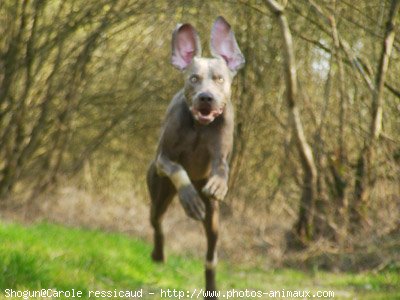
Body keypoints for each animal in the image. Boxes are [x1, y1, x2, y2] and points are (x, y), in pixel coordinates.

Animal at [147, 16, 244, 298]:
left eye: (220, 79)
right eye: (193, 78)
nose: (206, 97)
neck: (200, 126)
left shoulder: (221, 155)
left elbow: (222, 170)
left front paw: (218, 185)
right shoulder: (163, 160)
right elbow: (178, 169)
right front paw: (190, 199)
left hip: (213, 220)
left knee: (211, 254)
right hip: (159, 192)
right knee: (156, 222)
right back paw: (158, 254)